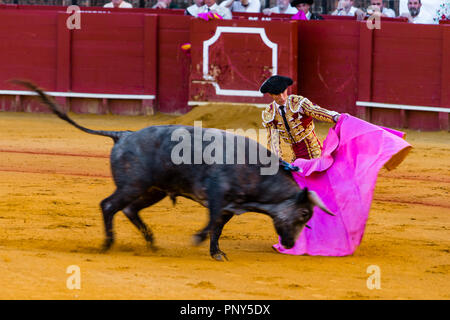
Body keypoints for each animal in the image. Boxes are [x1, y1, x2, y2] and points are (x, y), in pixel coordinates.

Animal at [15, 81, 334, 262]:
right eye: (303, 214)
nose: (290, 243)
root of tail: (123, 135)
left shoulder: (229, 206)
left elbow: (217, 227)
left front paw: (216, 252)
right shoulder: (218, 195)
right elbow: (210, 223)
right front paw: (199, 241)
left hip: (152, 190)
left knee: (129, 210)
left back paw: (152, 242)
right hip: (132, 186)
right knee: (108, 205)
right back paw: (108, 244)